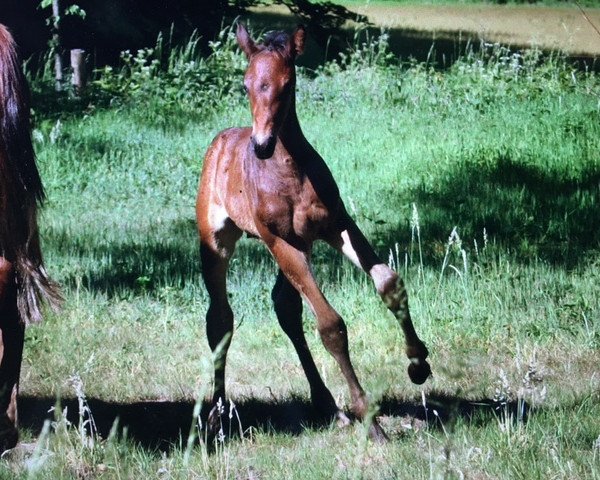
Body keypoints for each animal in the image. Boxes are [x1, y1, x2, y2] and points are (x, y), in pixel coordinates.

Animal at [197, 23, 432, 442]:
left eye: (287, 83)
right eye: (245, 84)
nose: (262, 145)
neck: (288, 172)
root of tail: (220, 142)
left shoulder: (336, 225)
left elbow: (388, 282)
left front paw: (418, 363)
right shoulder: (278, 240)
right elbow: (331, 325)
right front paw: (371, 421)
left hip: (300, 247)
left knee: (285, 308)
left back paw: (328, 406)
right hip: (218, 244)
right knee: (220, 319)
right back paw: (218, 415)